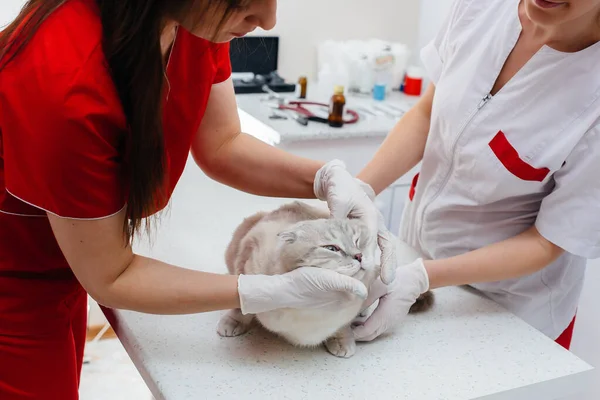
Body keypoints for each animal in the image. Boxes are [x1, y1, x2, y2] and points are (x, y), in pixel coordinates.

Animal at [218, 202, 434, 358]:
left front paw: (342, 341)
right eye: (332, 248)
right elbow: (241, 307)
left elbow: (342, 327)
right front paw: (233, 322)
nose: (359, 256)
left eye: (357, 241)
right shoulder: (245, 261)